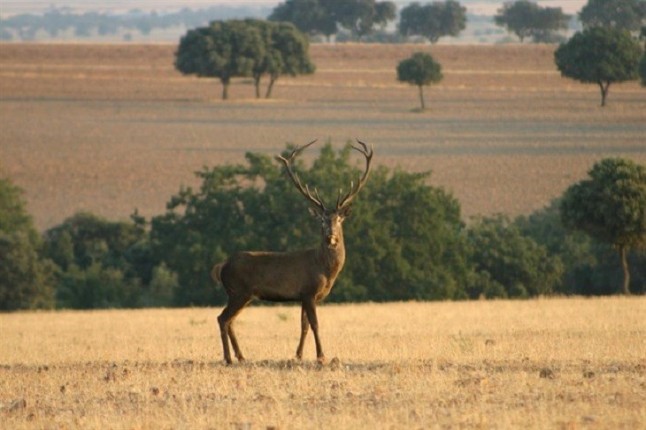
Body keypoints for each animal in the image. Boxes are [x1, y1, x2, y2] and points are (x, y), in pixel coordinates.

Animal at [211, 139, 373, 365]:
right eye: (322, 220)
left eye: (339, 219)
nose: (330, 236)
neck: (324, 270)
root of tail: (222, 266)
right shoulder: (309, 291)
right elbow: (315, 324)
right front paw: (321, 356)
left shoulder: (305, 295)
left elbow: (303, 326)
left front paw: (298, 355)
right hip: (238, 291)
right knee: (222, 318)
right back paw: (228, 358)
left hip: (244, 294)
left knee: (229, 320)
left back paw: (241, 356)